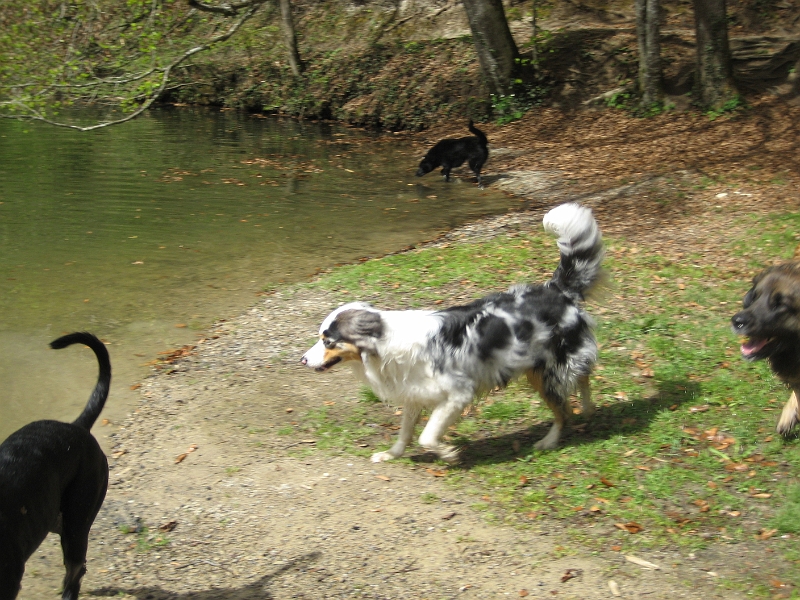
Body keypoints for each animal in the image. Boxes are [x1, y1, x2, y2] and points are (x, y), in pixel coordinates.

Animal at [302, 203, 604, 462]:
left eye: (328, 341)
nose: (302, 360)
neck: (384, 343)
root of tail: (557, 290)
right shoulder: (415, 392)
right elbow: (405, 432)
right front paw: (392, 454)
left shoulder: (458, 394)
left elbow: (425, 437)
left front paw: (447, 453)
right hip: (540, 369)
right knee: (582, 378)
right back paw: (589, 409)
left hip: (550, 371)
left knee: (565, 407)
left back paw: (550, 440)